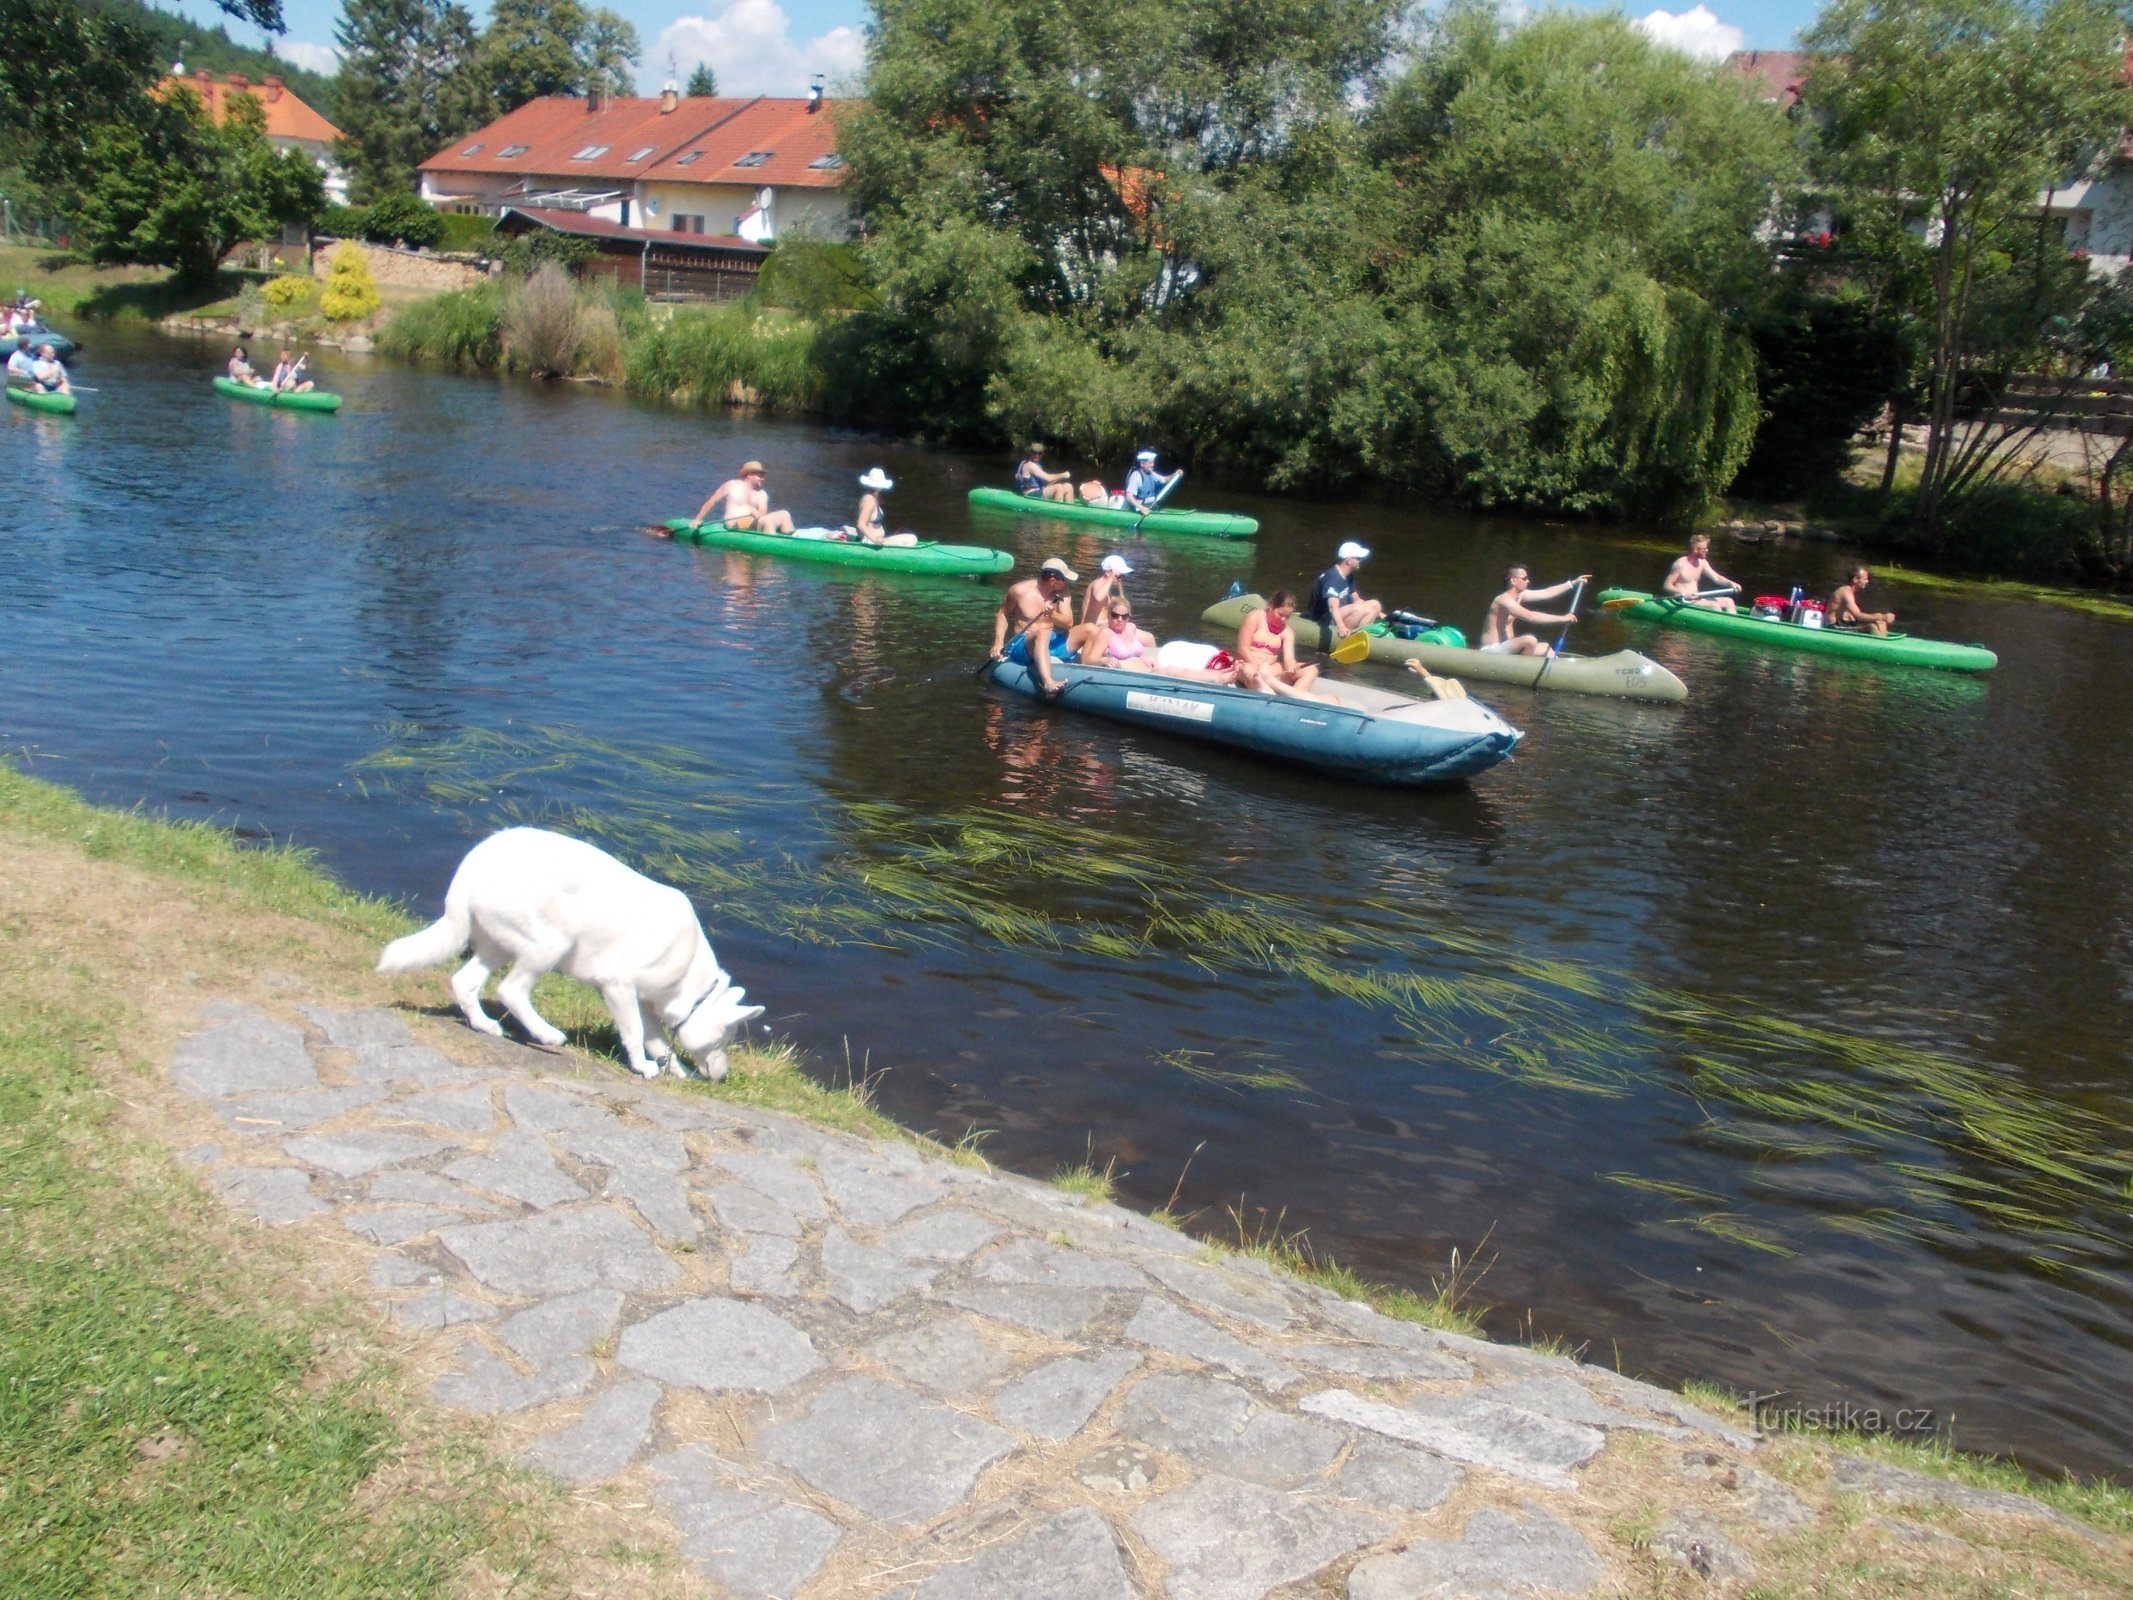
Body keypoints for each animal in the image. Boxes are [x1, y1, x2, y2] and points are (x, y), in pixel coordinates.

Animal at [377, 832, 767, 1083]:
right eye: (725, 1041)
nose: (723, 1079)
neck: (691, 982)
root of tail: (470, 867)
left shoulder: (642, 1000)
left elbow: (655, 1039)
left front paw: (673, 1070)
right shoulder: (618, 988)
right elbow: (635, 1033)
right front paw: (642, 1067)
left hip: (497, 946)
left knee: (465, 982)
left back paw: (485, 1025)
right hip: (551, 942)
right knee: (511, 990)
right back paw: (547, 1036)